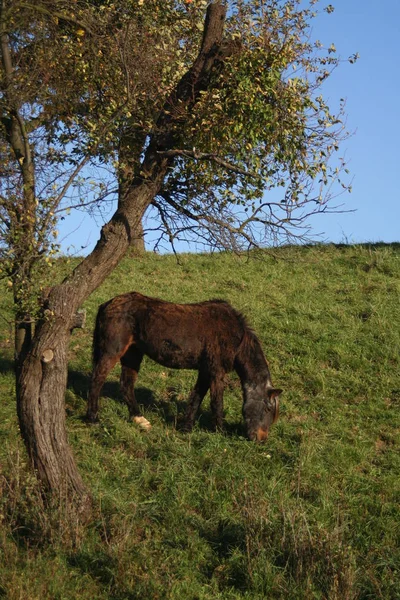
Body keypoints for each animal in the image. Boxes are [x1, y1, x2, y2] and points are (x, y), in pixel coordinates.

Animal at [87, 290, 282, 440]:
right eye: (267, 408)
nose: (261, 439)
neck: (236, 337)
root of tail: (107, 304)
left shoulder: (205, 372)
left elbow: (196, 398)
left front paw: (187, 428)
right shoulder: (216, 372)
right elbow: (216, 403)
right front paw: (220, 432)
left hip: (132, 354)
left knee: (126, 385)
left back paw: (139, 418)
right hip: (112, 352)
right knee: (97, 379)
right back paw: (93, 418)